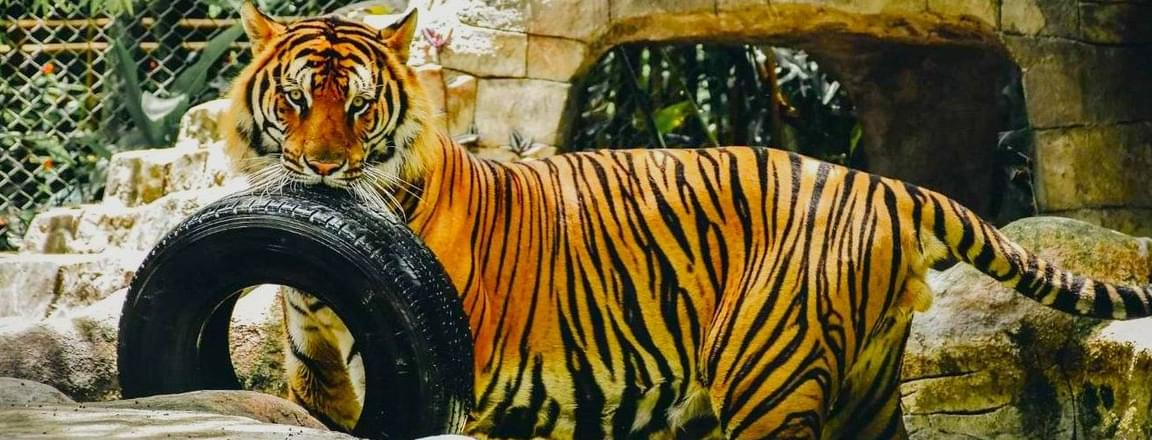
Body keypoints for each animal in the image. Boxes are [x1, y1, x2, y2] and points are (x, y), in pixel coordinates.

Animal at [221, 3, 1152, 439]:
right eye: (296, 100)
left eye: (361, 106)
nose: (322, 168)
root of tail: (885, 185)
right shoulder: (316, 363)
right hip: (863, 390)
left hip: (767, 373)